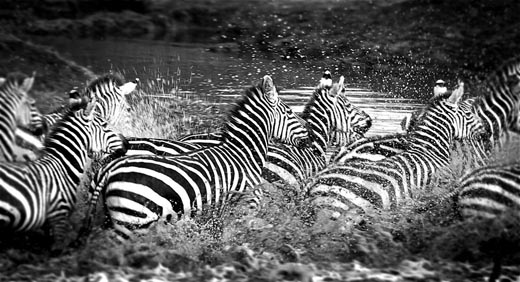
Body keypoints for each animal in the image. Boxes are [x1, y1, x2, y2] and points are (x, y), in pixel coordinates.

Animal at [85, 74, 308, 238]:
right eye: (289, 112)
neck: (243, 153)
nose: (309, 136)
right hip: (133, 220)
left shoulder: (214, 215)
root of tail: (108, 169)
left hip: (107, 216)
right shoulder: (244, 208)